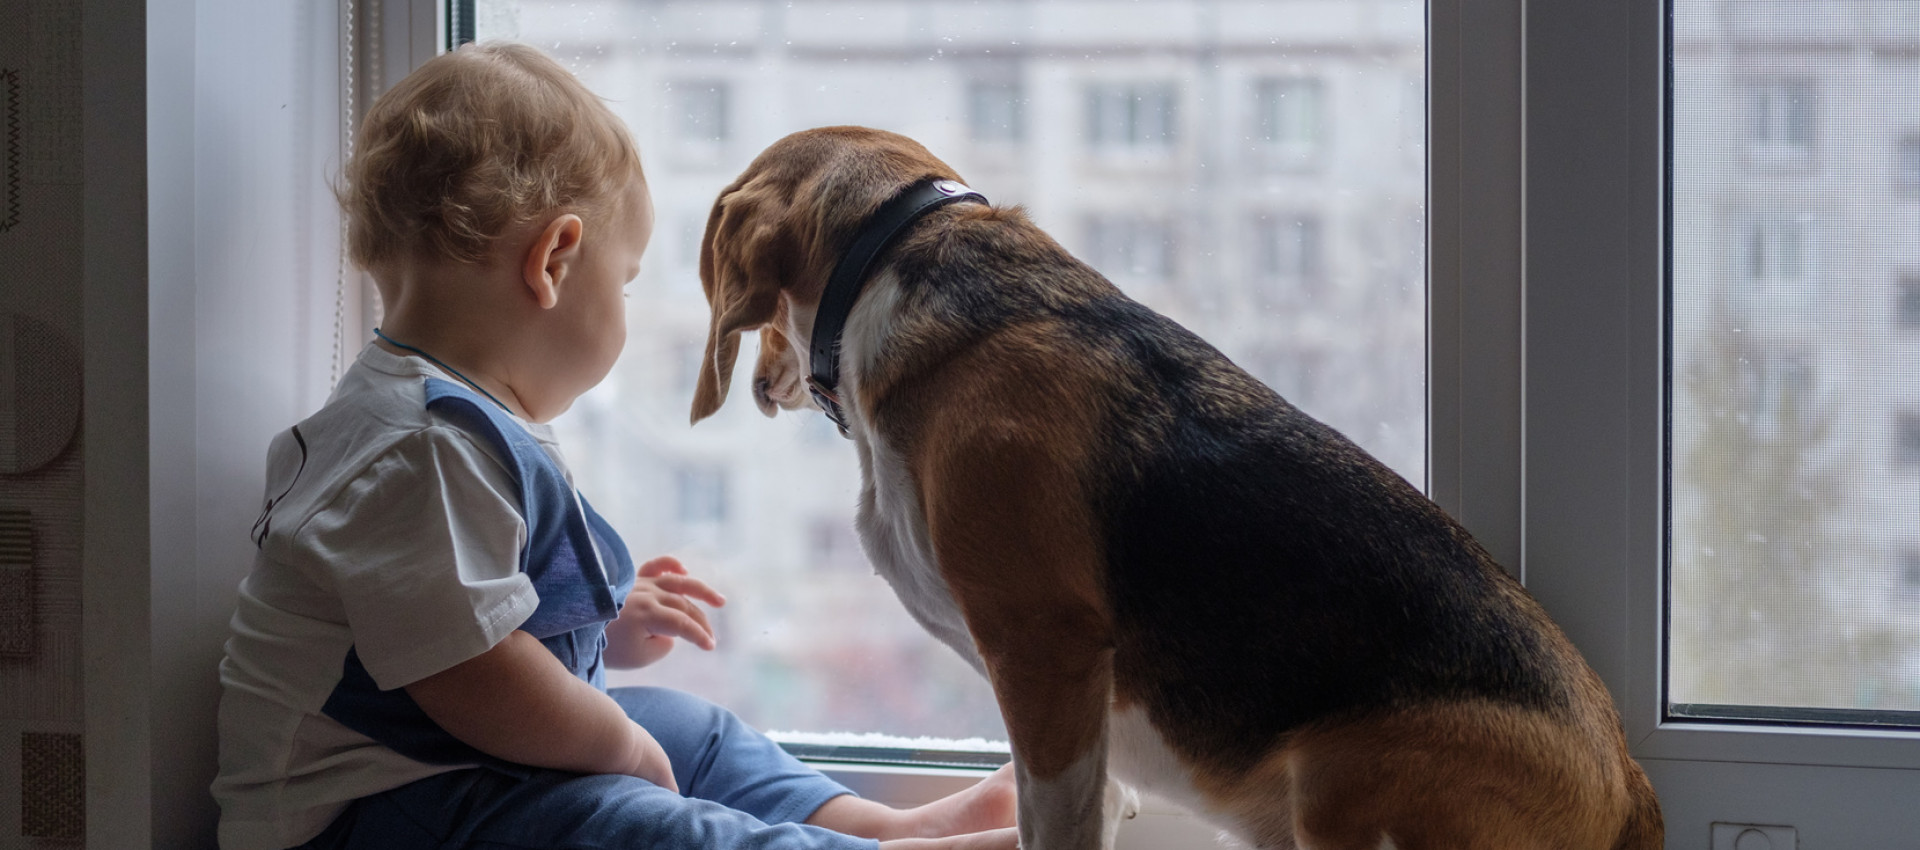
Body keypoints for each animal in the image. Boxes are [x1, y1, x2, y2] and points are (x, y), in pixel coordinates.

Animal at [695, 126, 1666, 850]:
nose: (762, 381)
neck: (897, 258)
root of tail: (1629, 784)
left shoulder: (1044, 651)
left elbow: (1053, 820)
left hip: (1340, 775)